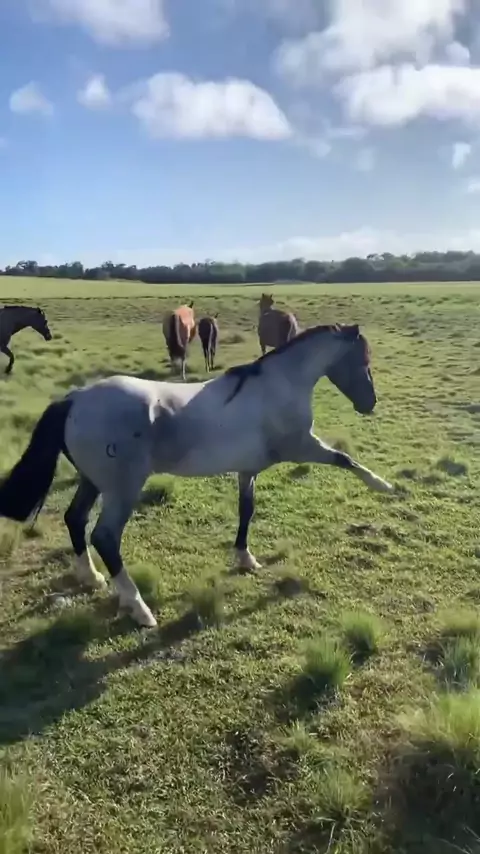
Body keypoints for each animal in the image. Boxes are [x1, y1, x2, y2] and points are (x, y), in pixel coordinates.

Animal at [0, 322, 393, 630]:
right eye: (362, 360)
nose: (369, 403)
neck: (276, 387)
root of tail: (74, 400)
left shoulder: (247, 469)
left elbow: (246, 510)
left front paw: (246, 559)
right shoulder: (302, 447)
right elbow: (345, 459)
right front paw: (385, 487)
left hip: (93, 481)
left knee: (75, 518)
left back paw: (92, 577)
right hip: (122, 488)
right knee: (105, 536)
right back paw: (140, 610)